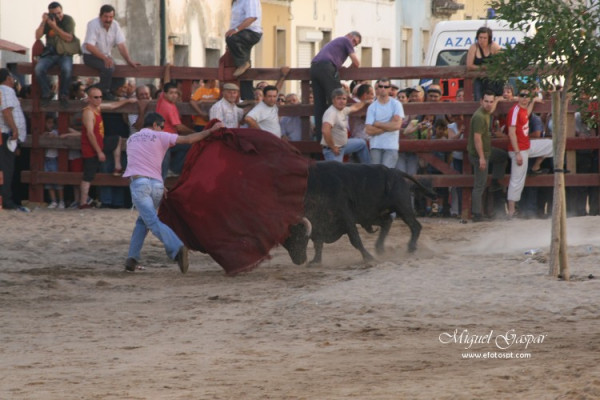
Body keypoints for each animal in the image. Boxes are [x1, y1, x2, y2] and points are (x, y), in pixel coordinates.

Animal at [282, 159, 436, 266]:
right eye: (285, 242)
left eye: (297, 236)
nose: (299, 261)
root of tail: (395, 171)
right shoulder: (320, 223)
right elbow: (318, 242)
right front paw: (315, 261)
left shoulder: (346, 217)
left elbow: (355, 239)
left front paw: (368, 257)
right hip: (371, 215)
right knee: (387, 222)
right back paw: (380, 249)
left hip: (403, 208)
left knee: (415, 226)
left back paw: (410, 248)